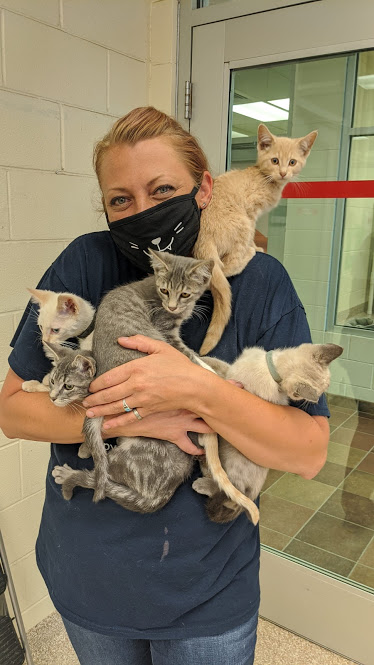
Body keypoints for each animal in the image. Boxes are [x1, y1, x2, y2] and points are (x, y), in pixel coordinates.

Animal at [53, 246, 216, 510]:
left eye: (185, 294)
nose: (172, 307)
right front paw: (211, 371)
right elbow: (190, 357)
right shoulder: (166, 333)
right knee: (102, 475)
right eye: (164, 290)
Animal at [194, 122, 318, 356]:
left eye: (292, 162)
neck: (265, 178)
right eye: (275, 160)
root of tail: (203, 237)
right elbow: (253, 232)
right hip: (241, 221)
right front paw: (255, 245)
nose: (283, 173)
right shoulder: (251, 212)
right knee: (226, 267)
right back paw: (250, 252)